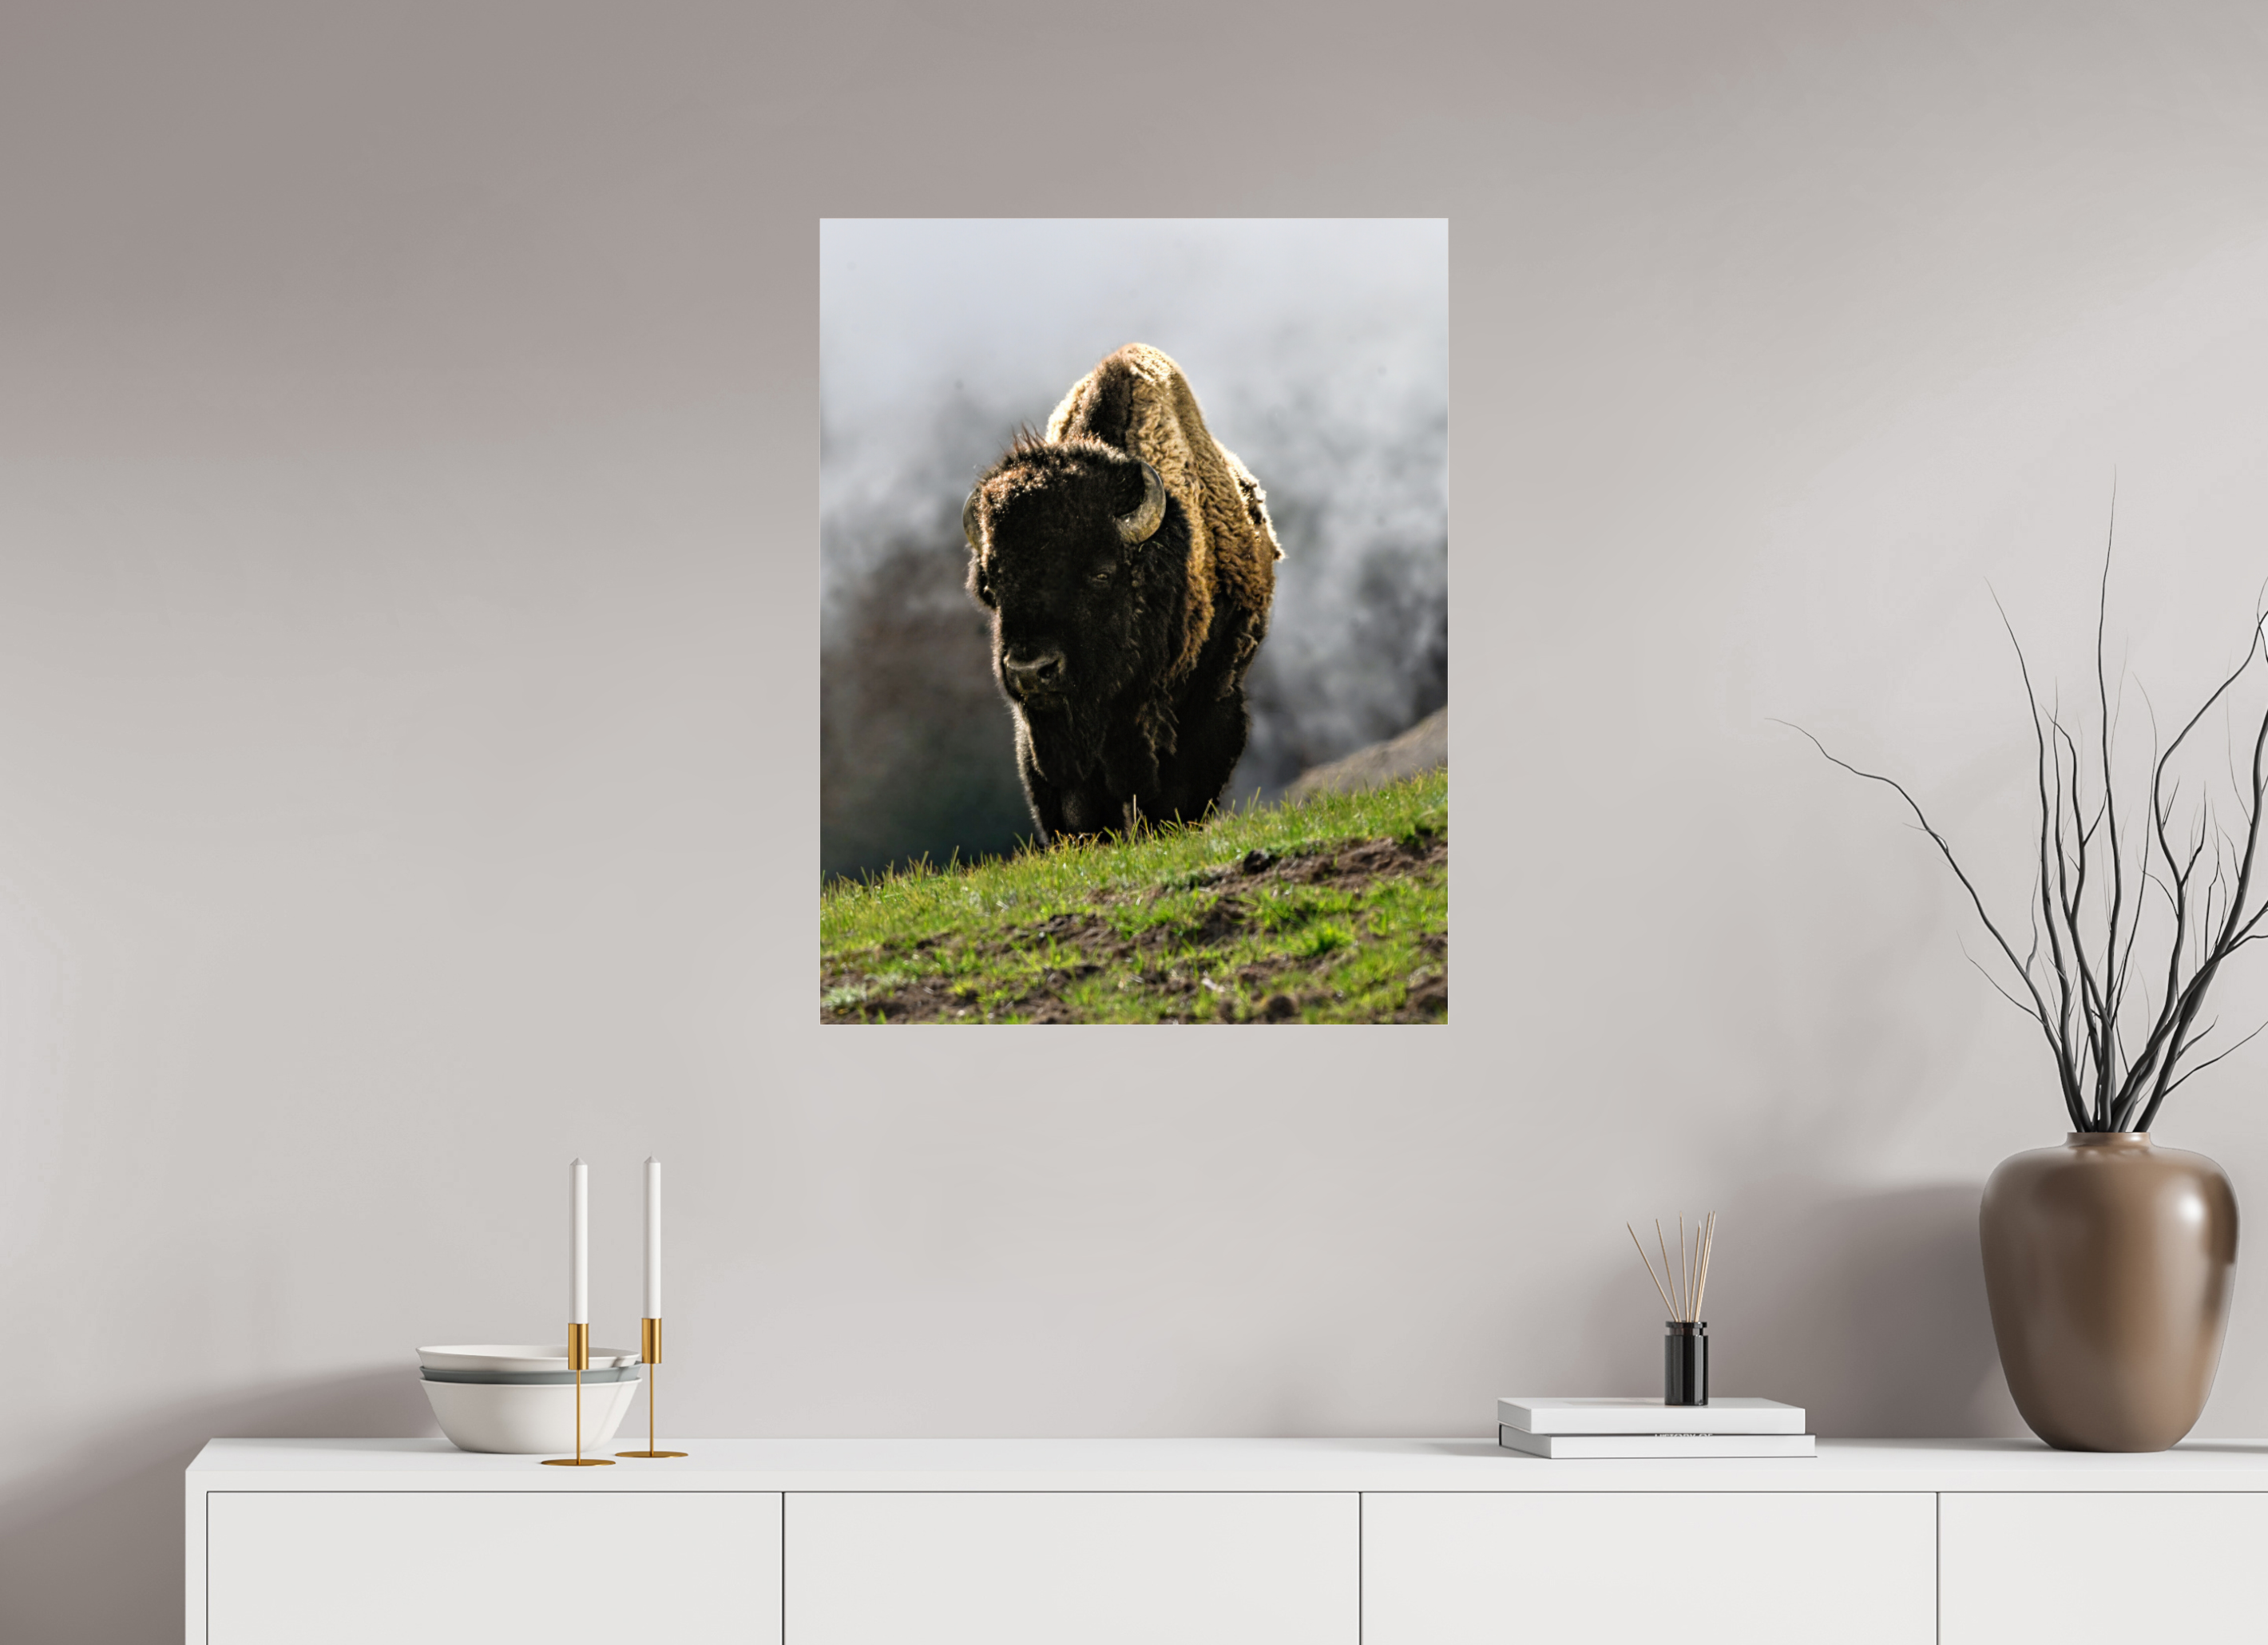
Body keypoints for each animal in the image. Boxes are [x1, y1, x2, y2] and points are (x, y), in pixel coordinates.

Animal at [961, 344, 1283, 842]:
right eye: (993, 585)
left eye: (1100, 574)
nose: (1031, 671)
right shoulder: (1049, 743)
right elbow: (1079, 809)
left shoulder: (1204, 703)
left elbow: (1176, 795)